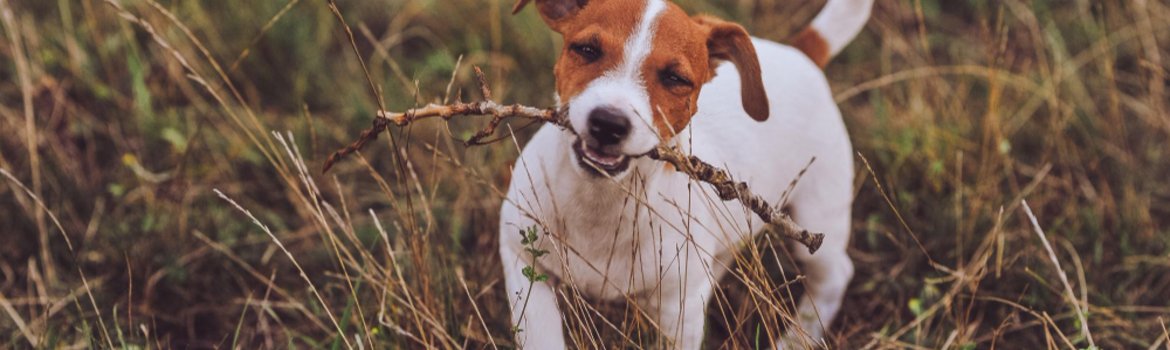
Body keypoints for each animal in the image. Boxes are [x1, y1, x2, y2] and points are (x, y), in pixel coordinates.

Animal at [498, 0, 875, 348]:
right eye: (587, 50)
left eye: (675, 78)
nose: (607, 123)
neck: (600, 202)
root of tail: (802, 54)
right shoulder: (524, 263)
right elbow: (541, 334)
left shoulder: (679, 312)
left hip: (818, 218)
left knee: (835, 276)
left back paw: (798, 337)